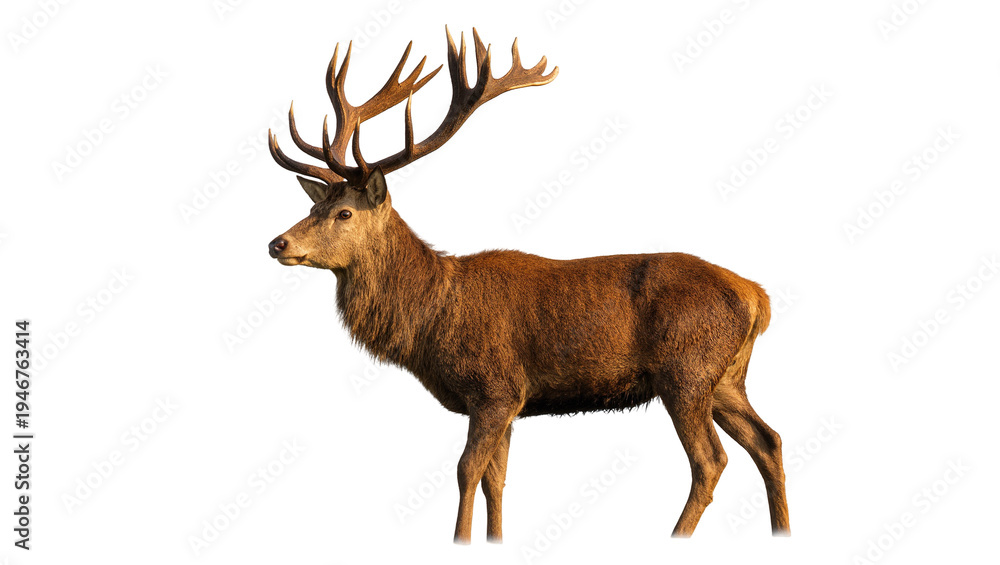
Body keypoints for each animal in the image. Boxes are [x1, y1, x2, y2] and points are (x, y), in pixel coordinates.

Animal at [265, 27, 790, 543]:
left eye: (344, 213)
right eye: (313, 206)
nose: (277, 243)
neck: (432, 318)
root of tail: (758, 297)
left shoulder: (495, 387)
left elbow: (467, 471)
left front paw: (460, 541)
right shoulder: (508, 402)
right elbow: (496, 479)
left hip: (686, 370)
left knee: (711, 460)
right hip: (726, 377)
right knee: (769, 440)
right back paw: (780, 529)